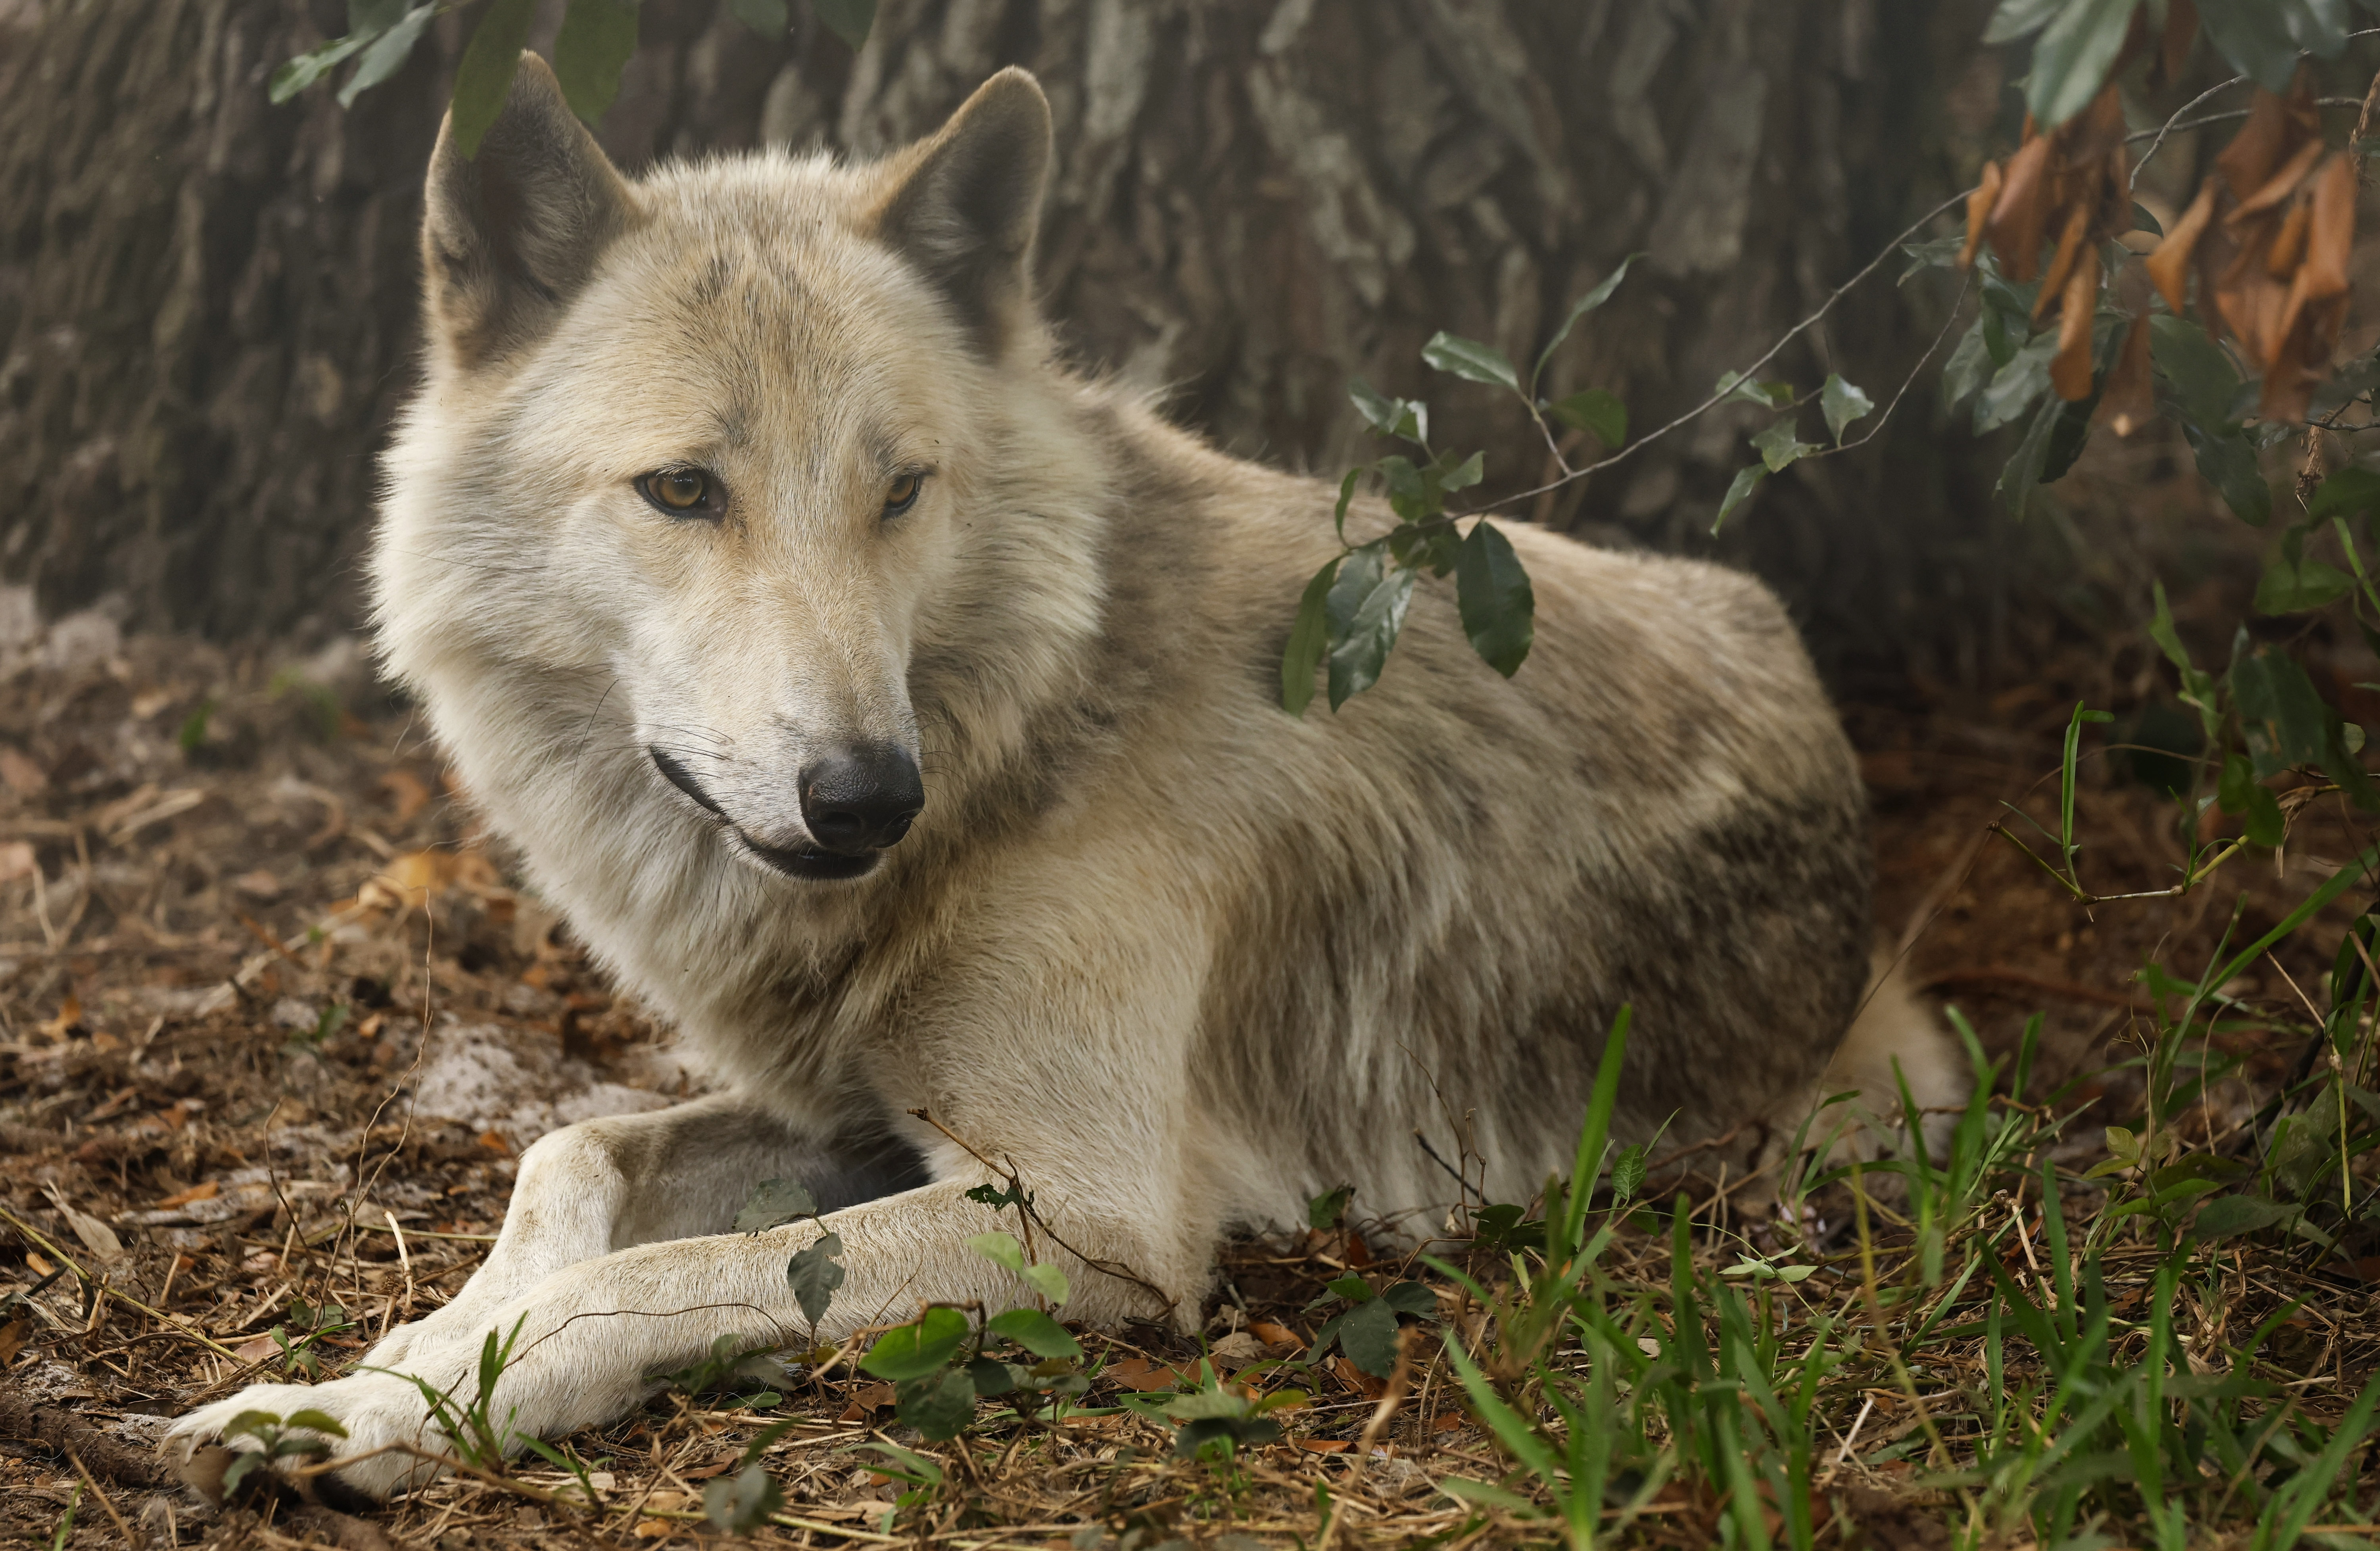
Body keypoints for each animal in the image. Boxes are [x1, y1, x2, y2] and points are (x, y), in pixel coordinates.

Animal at [172, 58, 1959, 1494]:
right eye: (682, 490)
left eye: (902, 489)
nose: (862, 796)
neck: (1026, 731)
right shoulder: (856, 1115)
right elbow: (572, 1157)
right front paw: (373, 1370)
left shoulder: (1090, 1213)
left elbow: (638, 1279)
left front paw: (398, 1410)